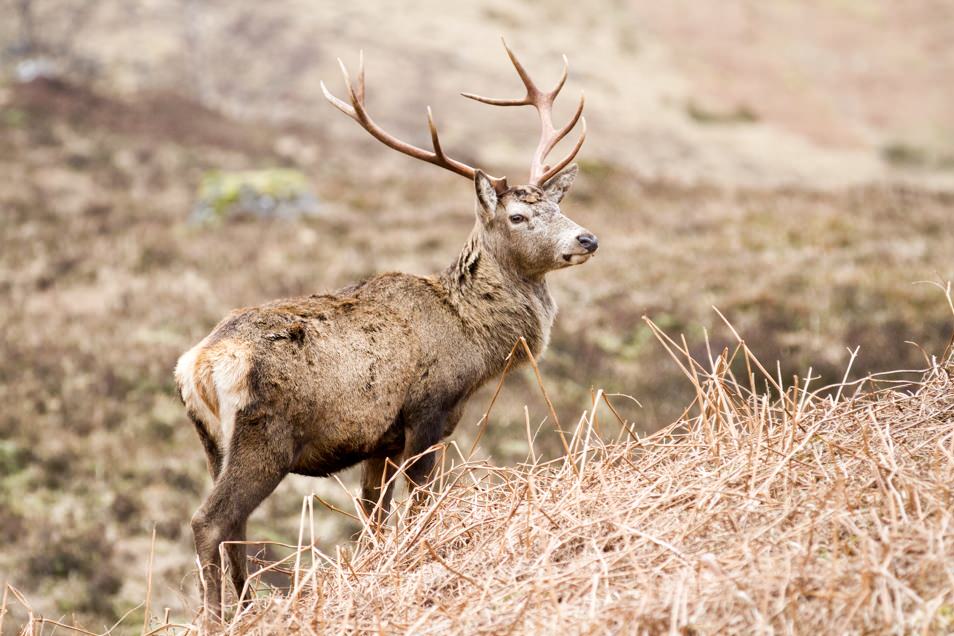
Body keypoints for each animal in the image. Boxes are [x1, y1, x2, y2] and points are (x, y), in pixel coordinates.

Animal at [173, 37, 596, 620]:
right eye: (517, 217)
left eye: (558, 205)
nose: (587, 239)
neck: (471, 342)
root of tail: (197, 364)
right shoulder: (428, 414)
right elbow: (420, 507)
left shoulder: (380, 440)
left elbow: (374, 520)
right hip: (265, 436)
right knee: (210, 521)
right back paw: (220, 617)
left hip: (213, 442)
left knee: (233, 524)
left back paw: (247, 608)